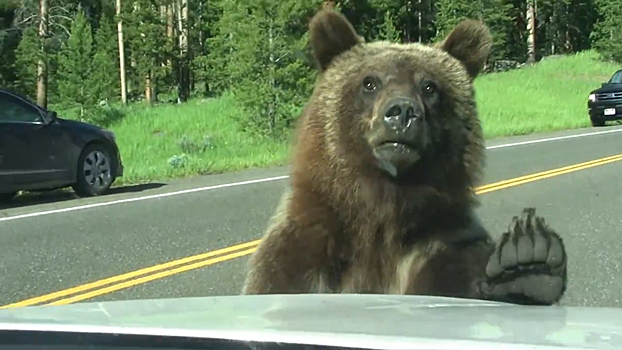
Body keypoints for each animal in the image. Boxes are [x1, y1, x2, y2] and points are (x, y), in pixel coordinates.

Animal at [241, 8, 568, 306]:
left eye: (429, 86)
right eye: (370, 82)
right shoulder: (308, 241)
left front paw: (529, 262)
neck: (385, 203)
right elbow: (279, 275)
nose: (402, 112)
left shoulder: (439, 238)